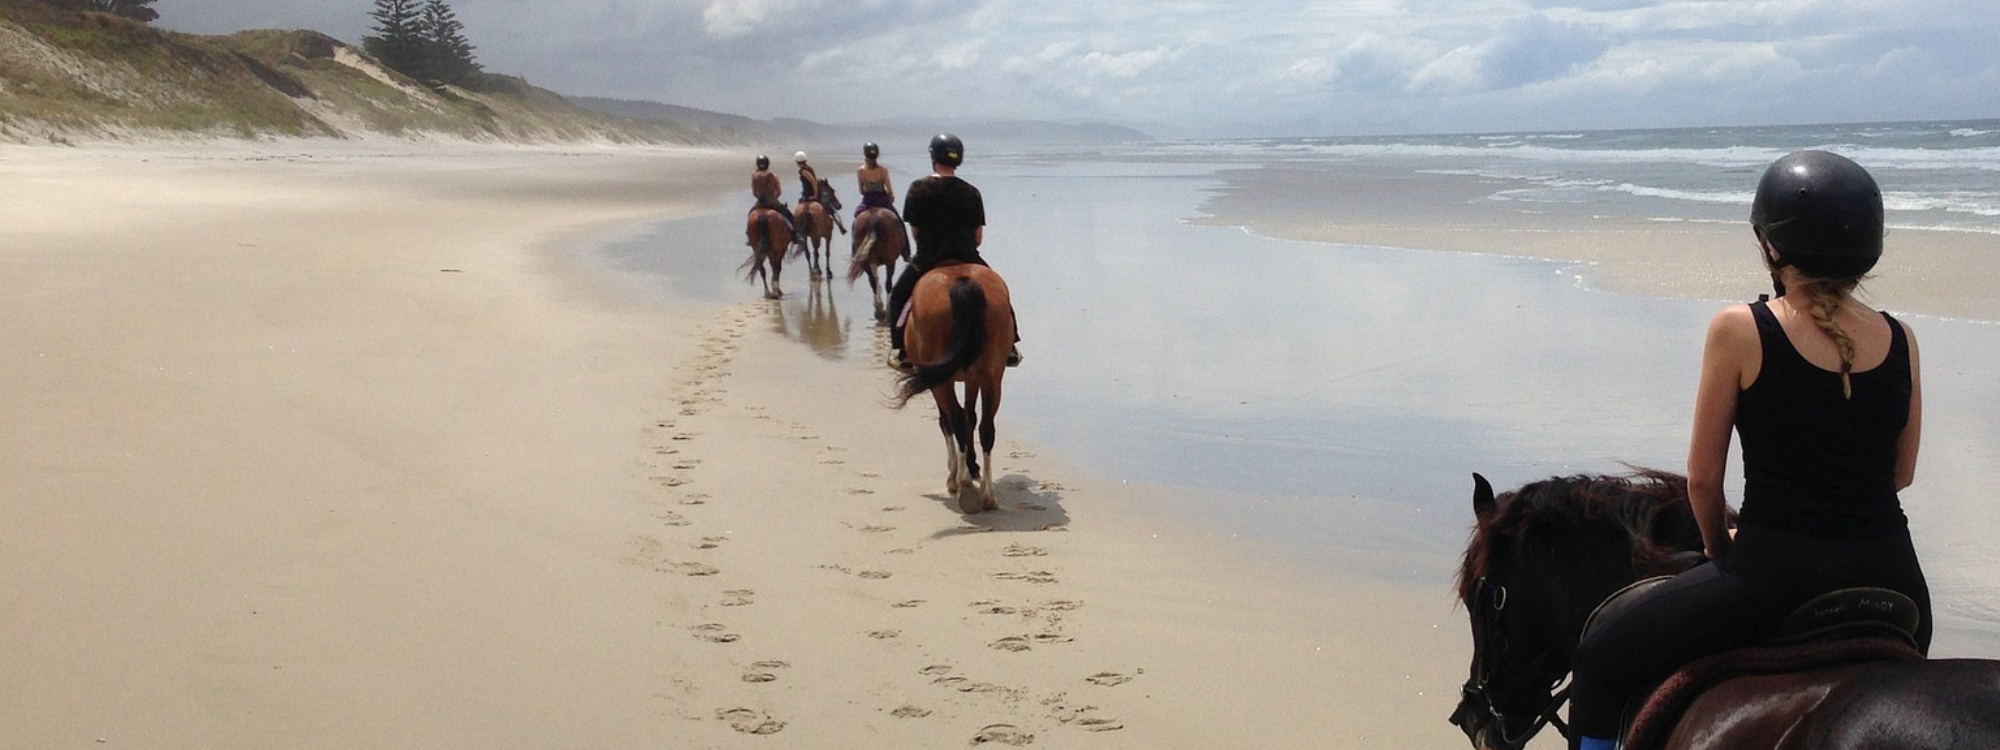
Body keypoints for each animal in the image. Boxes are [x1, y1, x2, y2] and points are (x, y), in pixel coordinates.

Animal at [892, 262, 1014, 513]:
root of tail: (962, 282)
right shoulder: (973, 379)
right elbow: (971, 417)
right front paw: (971, 465)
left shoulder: (942, 382)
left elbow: (947, 421)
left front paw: (955, 474)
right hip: (992, 376)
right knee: (986, 427)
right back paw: (987, 496)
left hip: (942, 382)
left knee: (954, 419)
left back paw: (963, 486)